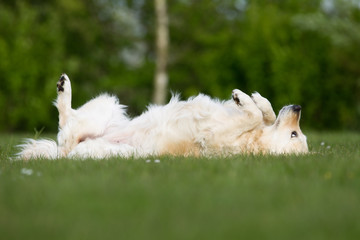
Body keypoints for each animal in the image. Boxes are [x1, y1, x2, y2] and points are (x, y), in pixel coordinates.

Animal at [16, 73, 308, 159]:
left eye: (295, 133)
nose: (298, 107)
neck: (252, 141)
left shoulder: (219, 136)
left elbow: (253, 117)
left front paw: (244, 99)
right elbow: (265, 113)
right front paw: (257, 98)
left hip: (119, 152)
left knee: (66, 129)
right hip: (108, 105)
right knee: (68, 120)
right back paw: (63, 85)